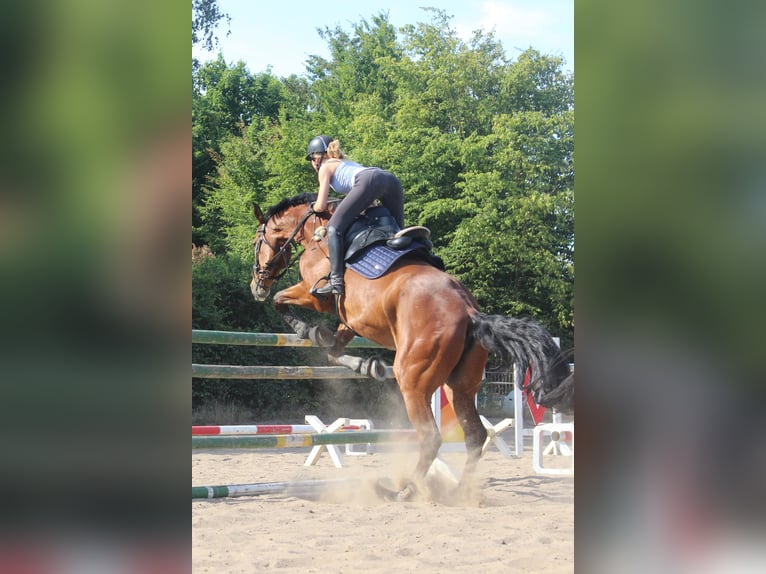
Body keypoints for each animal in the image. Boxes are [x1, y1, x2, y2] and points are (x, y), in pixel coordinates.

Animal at [250, 192, 571, 500]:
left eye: (256, 242)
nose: (256, 286)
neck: (314, 230)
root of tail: (470, 312)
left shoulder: (313, 293)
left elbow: (281, 300)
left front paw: (306, 328)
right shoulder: (351, 322)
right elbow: (333, 351)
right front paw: (367, 365)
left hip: (413, 381)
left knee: (431, 437)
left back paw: (405, 490)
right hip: (460, 387)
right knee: (474, 435)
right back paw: (458, 491)